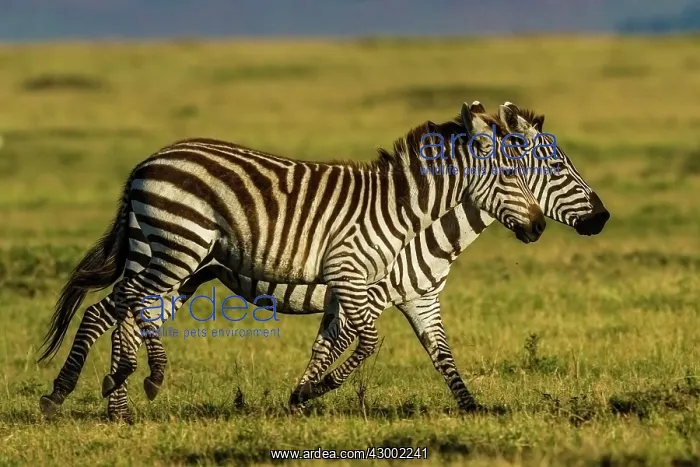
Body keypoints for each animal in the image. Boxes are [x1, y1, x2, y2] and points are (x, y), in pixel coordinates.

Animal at [39, 102, 608, 422]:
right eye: (554, 168)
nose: (601, 218)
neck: (412, 217)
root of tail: (146, 161)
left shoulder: (412, 296)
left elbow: (437, 354)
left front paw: (470, 408)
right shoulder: (358, 285)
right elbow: (364, 343)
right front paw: (313, 391)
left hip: (176, 263)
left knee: (124, 315)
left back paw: (116, 401)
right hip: (175, 249)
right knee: (119, 310)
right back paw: (100, 389)